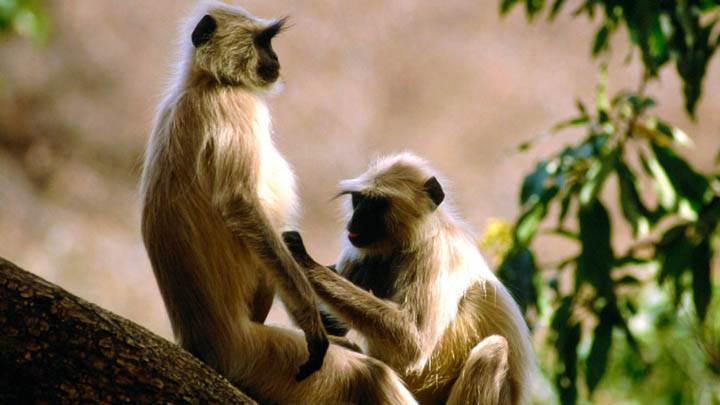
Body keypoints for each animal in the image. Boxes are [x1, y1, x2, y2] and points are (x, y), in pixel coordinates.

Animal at [140, 2, 416, 403]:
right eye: (263, 42)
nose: (276, 58)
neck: (205, 84)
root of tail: (201, 346)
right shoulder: (235, 106)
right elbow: (240, 205)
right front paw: (313, 325)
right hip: (260, 357)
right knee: (370, 376)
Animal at [282, 152, 535, 404]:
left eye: (376, 205)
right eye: (358, 200)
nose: (354, 221)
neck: (408, 243)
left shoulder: (436, 253)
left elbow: (415, 343)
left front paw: (302, 259)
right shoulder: (361, 254)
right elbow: (332, 328)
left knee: (494, 350)